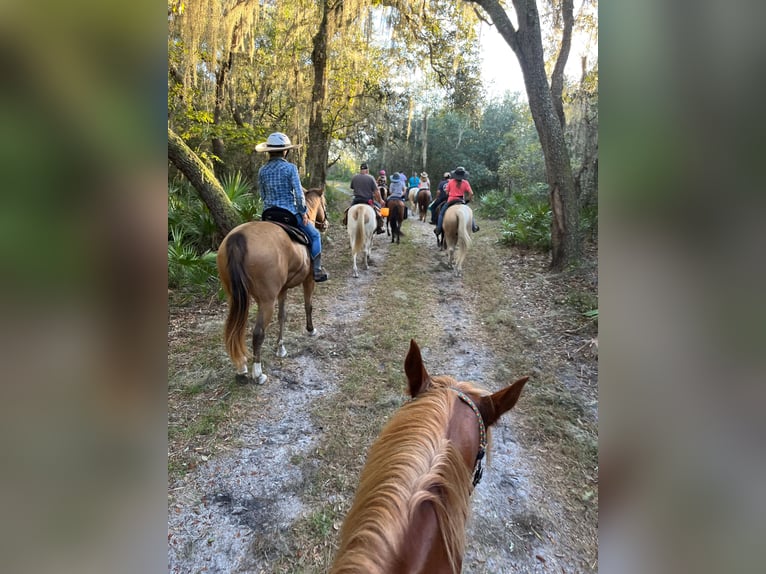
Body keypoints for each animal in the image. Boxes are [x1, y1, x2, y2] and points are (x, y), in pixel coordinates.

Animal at [214, 190, 328, 388]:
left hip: (234, 297)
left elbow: (282, 315)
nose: (326, 224)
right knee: (258, 333)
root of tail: (238, 238)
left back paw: (241, 368)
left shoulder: (282, 290)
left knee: (236, 329)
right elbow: (308, 306)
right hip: (266, 301)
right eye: (325, 203)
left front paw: (280, 348)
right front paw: (311, 329)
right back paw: (258, 373)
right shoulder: (308, 280)